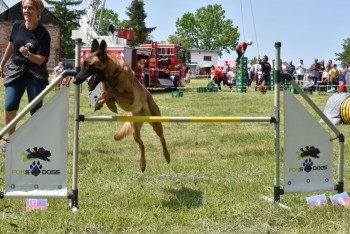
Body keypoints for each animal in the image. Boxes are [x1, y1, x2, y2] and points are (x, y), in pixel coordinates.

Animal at [74, 39, 170, 172]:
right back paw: (142, 164)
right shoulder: (107, 89)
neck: (113, 75)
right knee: (142, 144)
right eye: (83, 64)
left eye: (88, 65)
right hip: (135, 131)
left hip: (156, 123)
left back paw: (167, 156)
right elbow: (106, 94)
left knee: (162, 138)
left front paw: (103, 103)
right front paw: (107, 105)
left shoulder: (130, 97)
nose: (75, 80)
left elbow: (111, 91)